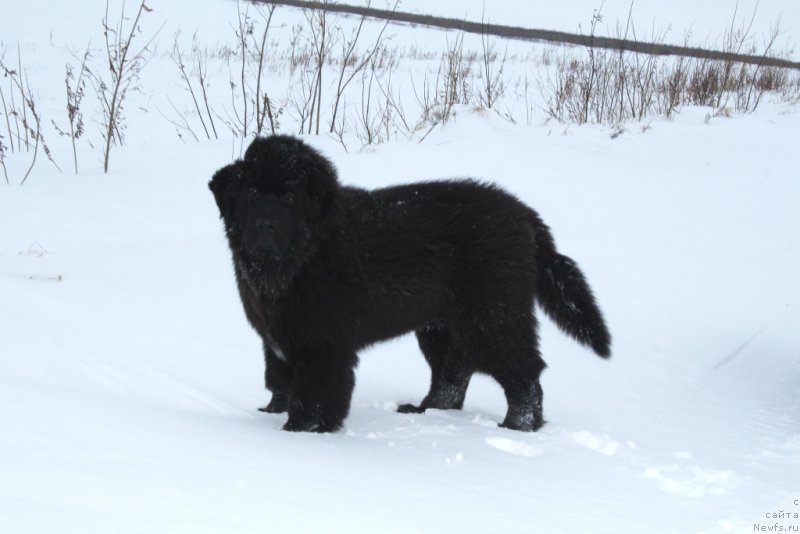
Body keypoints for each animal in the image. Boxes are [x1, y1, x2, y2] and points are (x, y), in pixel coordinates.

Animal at [209, 135, 608, 436]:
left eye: (289, 198)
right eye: (250, 194)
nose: (265, 227)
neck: (302, 257)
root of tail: (526, 215)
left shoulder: (324, 343)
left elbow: (315, 391)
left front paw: (302, 431)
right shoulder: (277, 338)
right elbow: (278, 379)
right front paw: (270, 412)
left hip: (490, 314)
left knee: (523, 370)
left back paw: (517, 426)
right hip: (439, 324)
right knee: (452, 372)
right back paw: (425, 410)